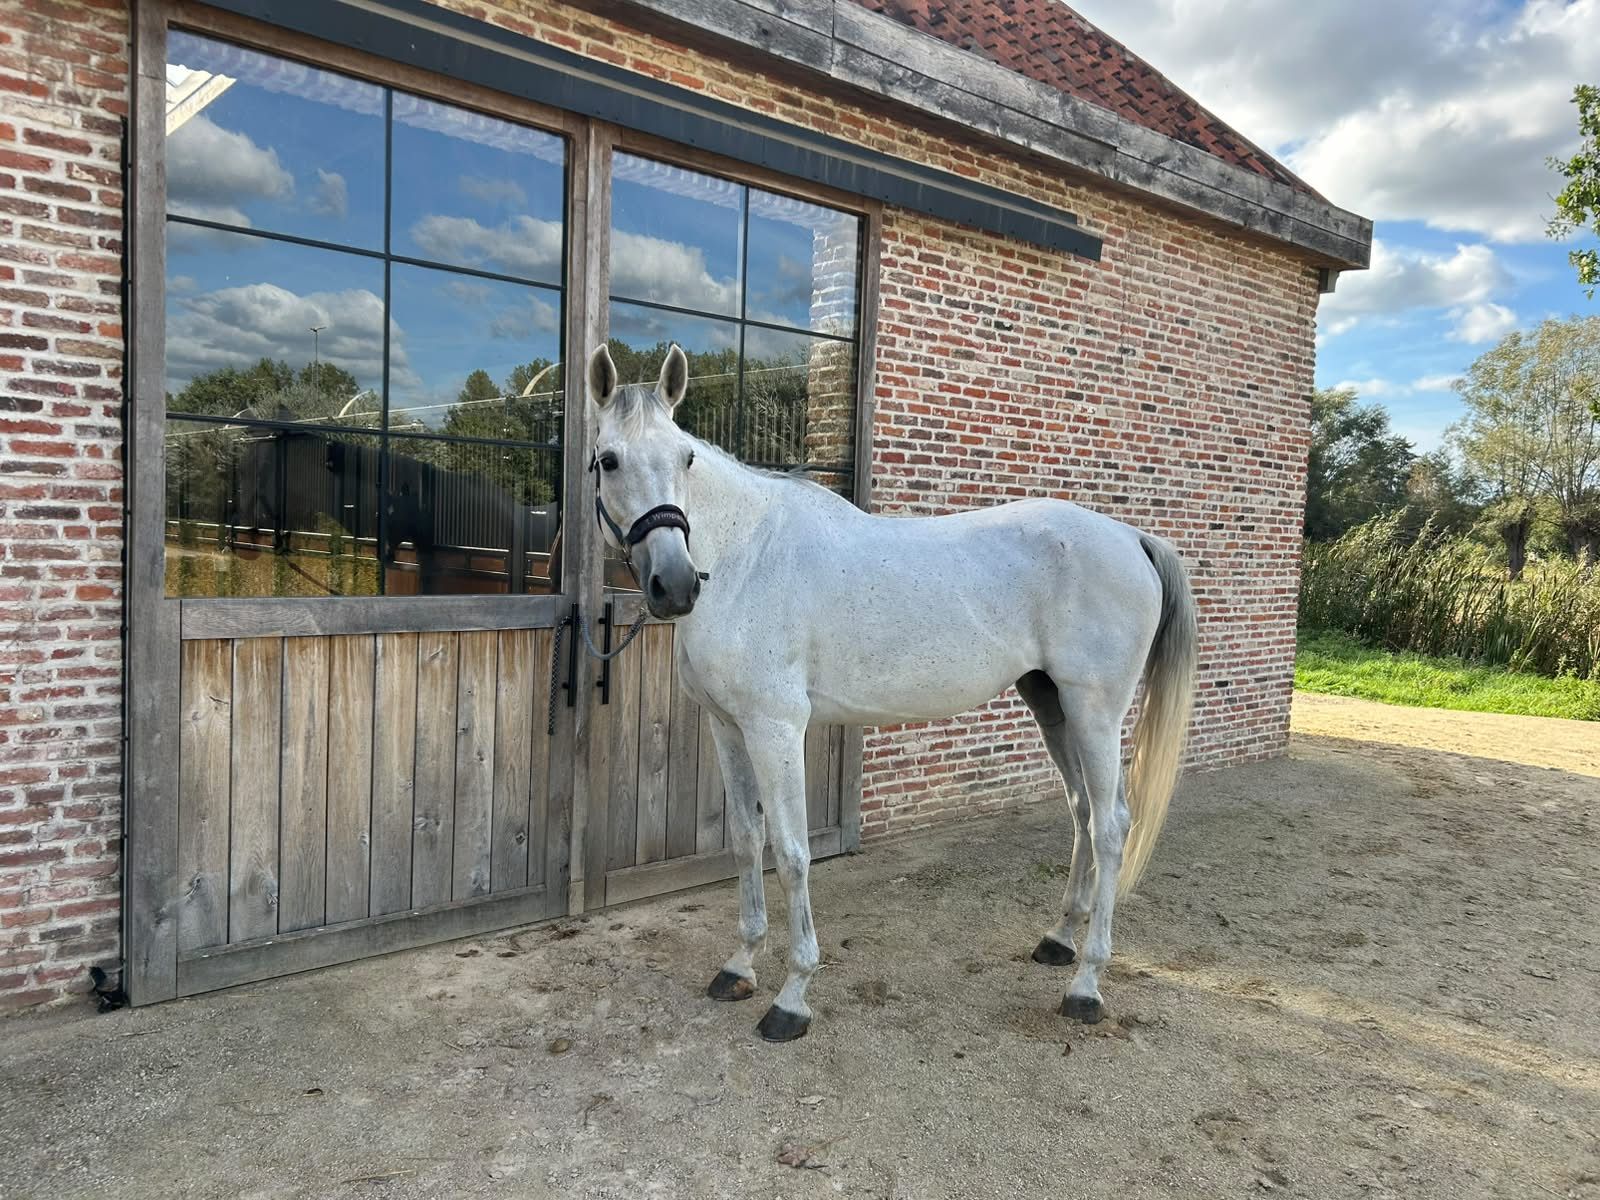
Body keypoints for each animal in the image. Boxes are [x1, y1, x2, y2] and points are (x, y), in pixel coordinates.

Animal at [585, 342, 1198, 1042]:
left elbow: (790, 852)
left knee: (1112, 825)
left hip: (1095, 711)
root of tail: (1132, 538)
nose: (676, 585)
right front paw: (739, 966)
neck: (747, 556)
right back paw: (1058, 941)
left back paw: (1087, 985)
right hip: (1052, 706)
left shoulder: (775, 729)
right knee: (1082, 813)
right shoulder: (728, 727)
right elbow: (745, 840)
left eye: (685, 457)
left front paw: (792, 997)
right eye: (609, 459)